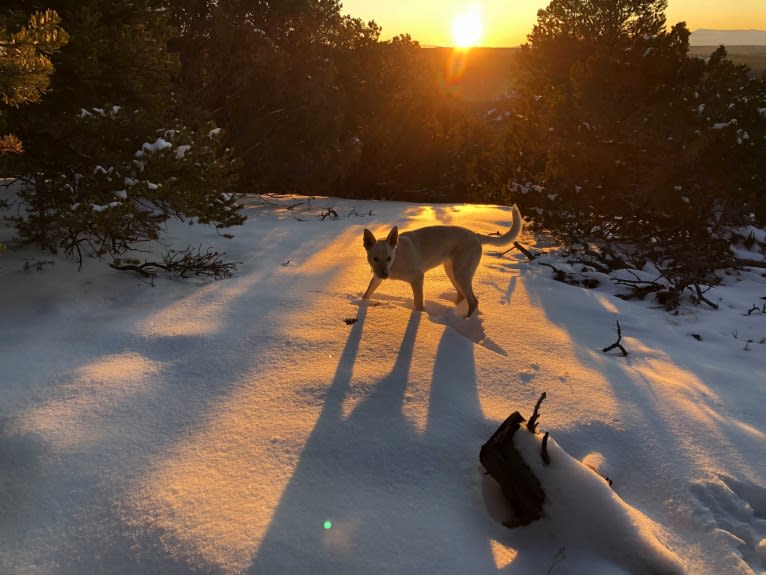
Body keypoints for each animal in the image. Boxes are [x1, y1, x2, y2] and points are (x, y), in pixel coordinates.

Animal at [364, 204, 520, 320]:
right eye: (375, 259)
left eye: (389, 258)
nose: (385, 275)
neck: (397, 259)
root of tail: (476, 235)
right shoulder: (376, 278)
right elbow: (367, 293)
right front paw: (362, 305)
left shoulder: (418, 278)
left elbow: (418, 304)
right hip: (452, 272)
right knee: (462, 296)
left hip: (460, 274)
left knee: (474, 301)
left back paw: (465, 322)